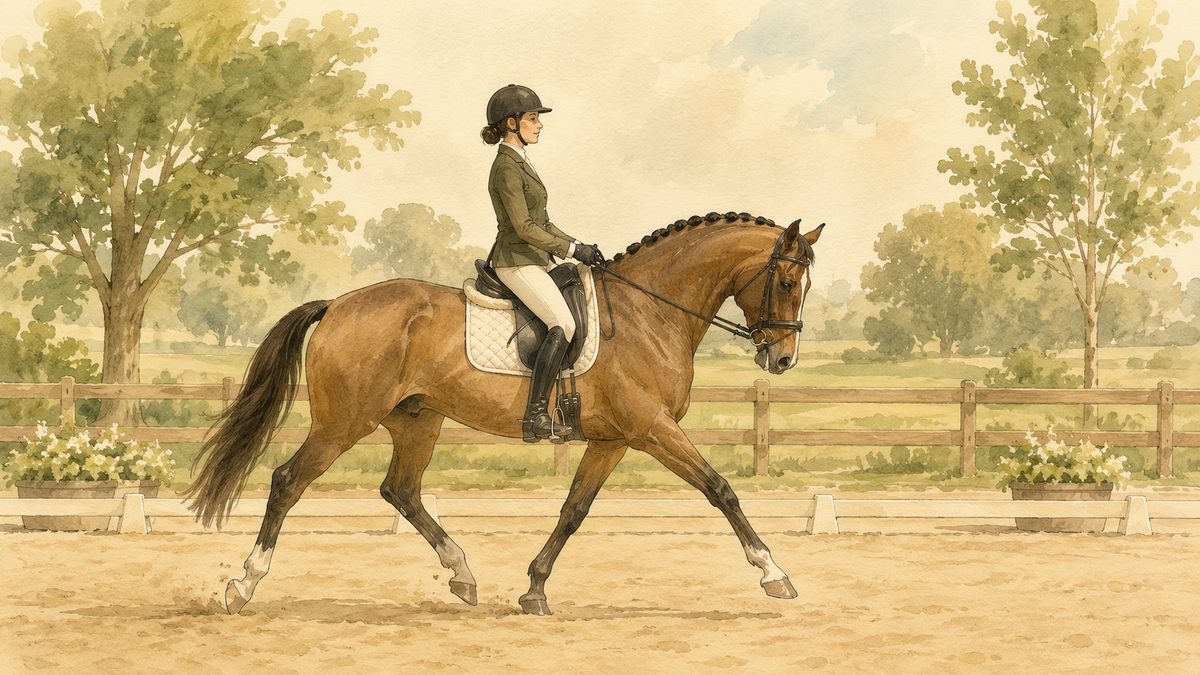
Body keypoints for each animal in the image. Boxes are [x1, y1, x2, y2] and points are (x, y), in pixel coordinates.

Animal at [185, 211, 823, 615]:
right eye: (787, 280)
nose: (783, 359)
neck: (649, 312)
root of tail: (338, 304)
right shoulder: (653, 429)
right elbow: (721, 490)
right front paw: (775, 575)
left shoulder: (613, 439)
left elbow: (573, 510)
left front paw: (535, 589)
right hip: (343, 423)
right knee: (287, 481)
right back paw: (243, 584)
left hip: (417, 419)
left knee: (401, 491)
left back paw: (463, 576)